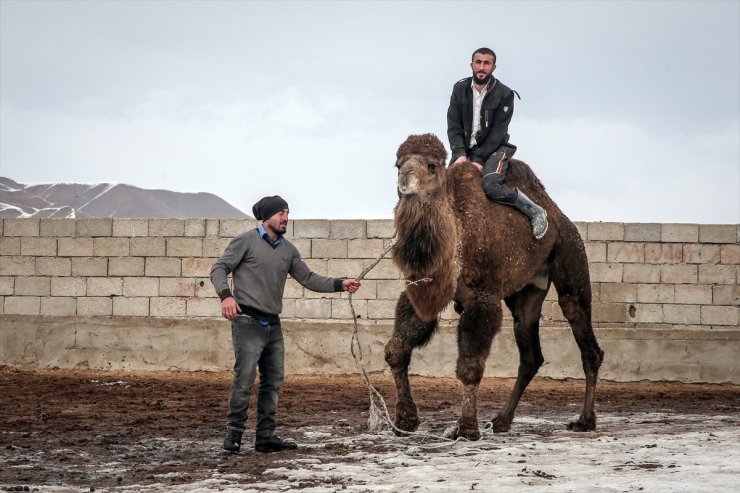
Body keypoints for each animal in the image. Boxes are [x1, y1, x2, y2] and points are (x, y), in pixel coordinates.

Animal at [384, 134, 604, 438]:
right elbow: (396, 350)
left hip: (571, 258)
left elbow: (470, 367)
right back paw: (501, 420)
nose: (404, 178)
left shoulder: (483, 296)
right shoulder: (422, 291)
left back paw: (584, 420)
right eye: (397, 164)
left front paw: (465, 428)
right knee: (531, 355)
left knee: (586, 340)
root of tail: (560, 218)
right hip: (526, 293)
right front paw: (405, 420)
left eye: (432, 165)